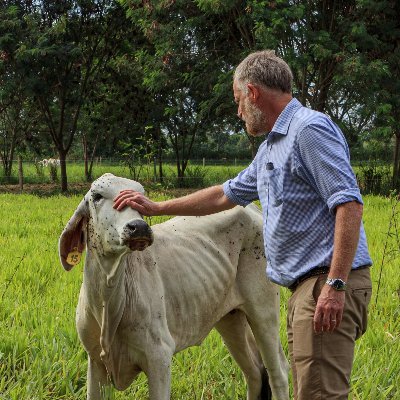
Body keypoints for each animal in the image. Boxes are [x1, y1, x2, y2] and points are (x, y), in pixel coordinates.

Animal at [57, 174, 288, 400]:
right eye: (97, 196)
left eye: (140, 197)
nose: (138, 227)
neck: (109, 300)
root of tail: (252, 209)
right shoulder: (95, 361)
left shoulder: (159, 357)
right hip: (230, 317)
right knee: (254, 372)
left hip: (264, 310)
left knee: (278, 372)